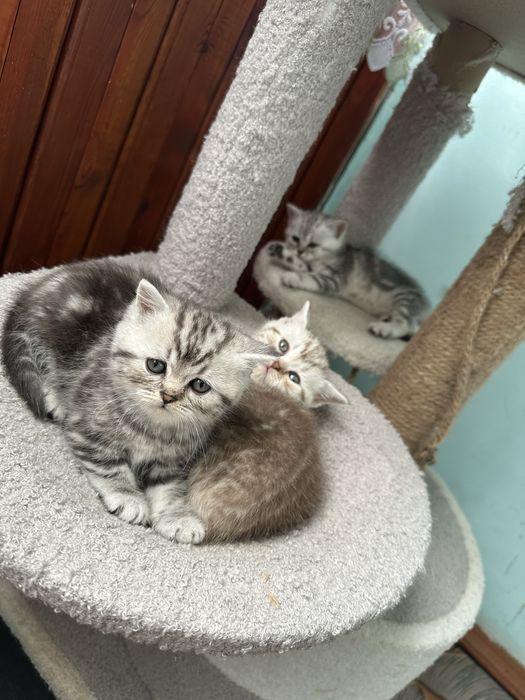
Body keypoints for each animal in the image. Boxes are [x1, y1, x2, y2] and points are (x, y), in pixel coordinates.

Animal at [2, 259, 276, 544]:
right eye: (155, 365)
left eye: (199, 386)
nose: (168, 395)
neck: (150, 429)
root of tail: (38, 286)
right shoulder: (86, 425)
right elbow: (109, 464)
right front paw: (128, 497)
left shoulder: (173, 460)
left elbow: (171, 487)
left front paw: (178, 516)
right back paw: (53, 395)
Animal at [266, 204, 429, 340]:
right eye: (295, 239)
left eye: (313, 245)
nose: (300, 251)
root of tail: (425, 303)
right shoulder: (311, 266)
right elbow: (301, 266)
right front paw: (281, 251)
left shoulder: (335, 278)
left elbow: (311, 277)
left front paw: (293, 277)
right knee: (413, 326)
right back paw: (387, 318)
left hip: (406, 297)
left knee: (405, 323)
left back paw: (383, 328)